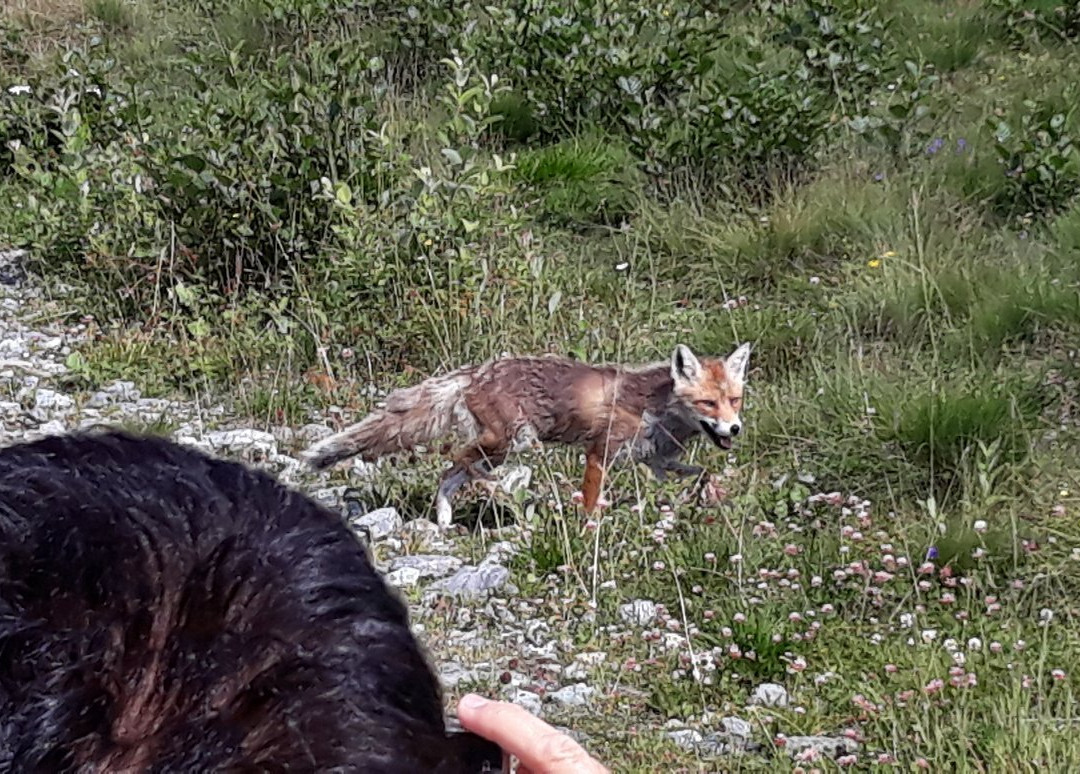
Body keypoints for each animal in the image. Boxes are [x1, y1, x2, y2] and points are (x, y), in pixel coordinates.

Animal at [306, 343, 751, 524]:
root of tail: (476, 372)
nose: (735, 428)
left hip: (500, 448)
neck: (654, 406)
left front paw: (705, 495)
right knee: (456, 459)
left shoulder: (658, 460)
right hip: (510, 442)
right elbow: (591, 502)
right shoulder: (599, 453)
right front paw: (588, 530)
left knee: (450, 472)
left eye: (734, 400)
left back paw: (446, 518)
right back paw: (503, 490)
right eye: (708, 404)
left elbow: (701, 473)